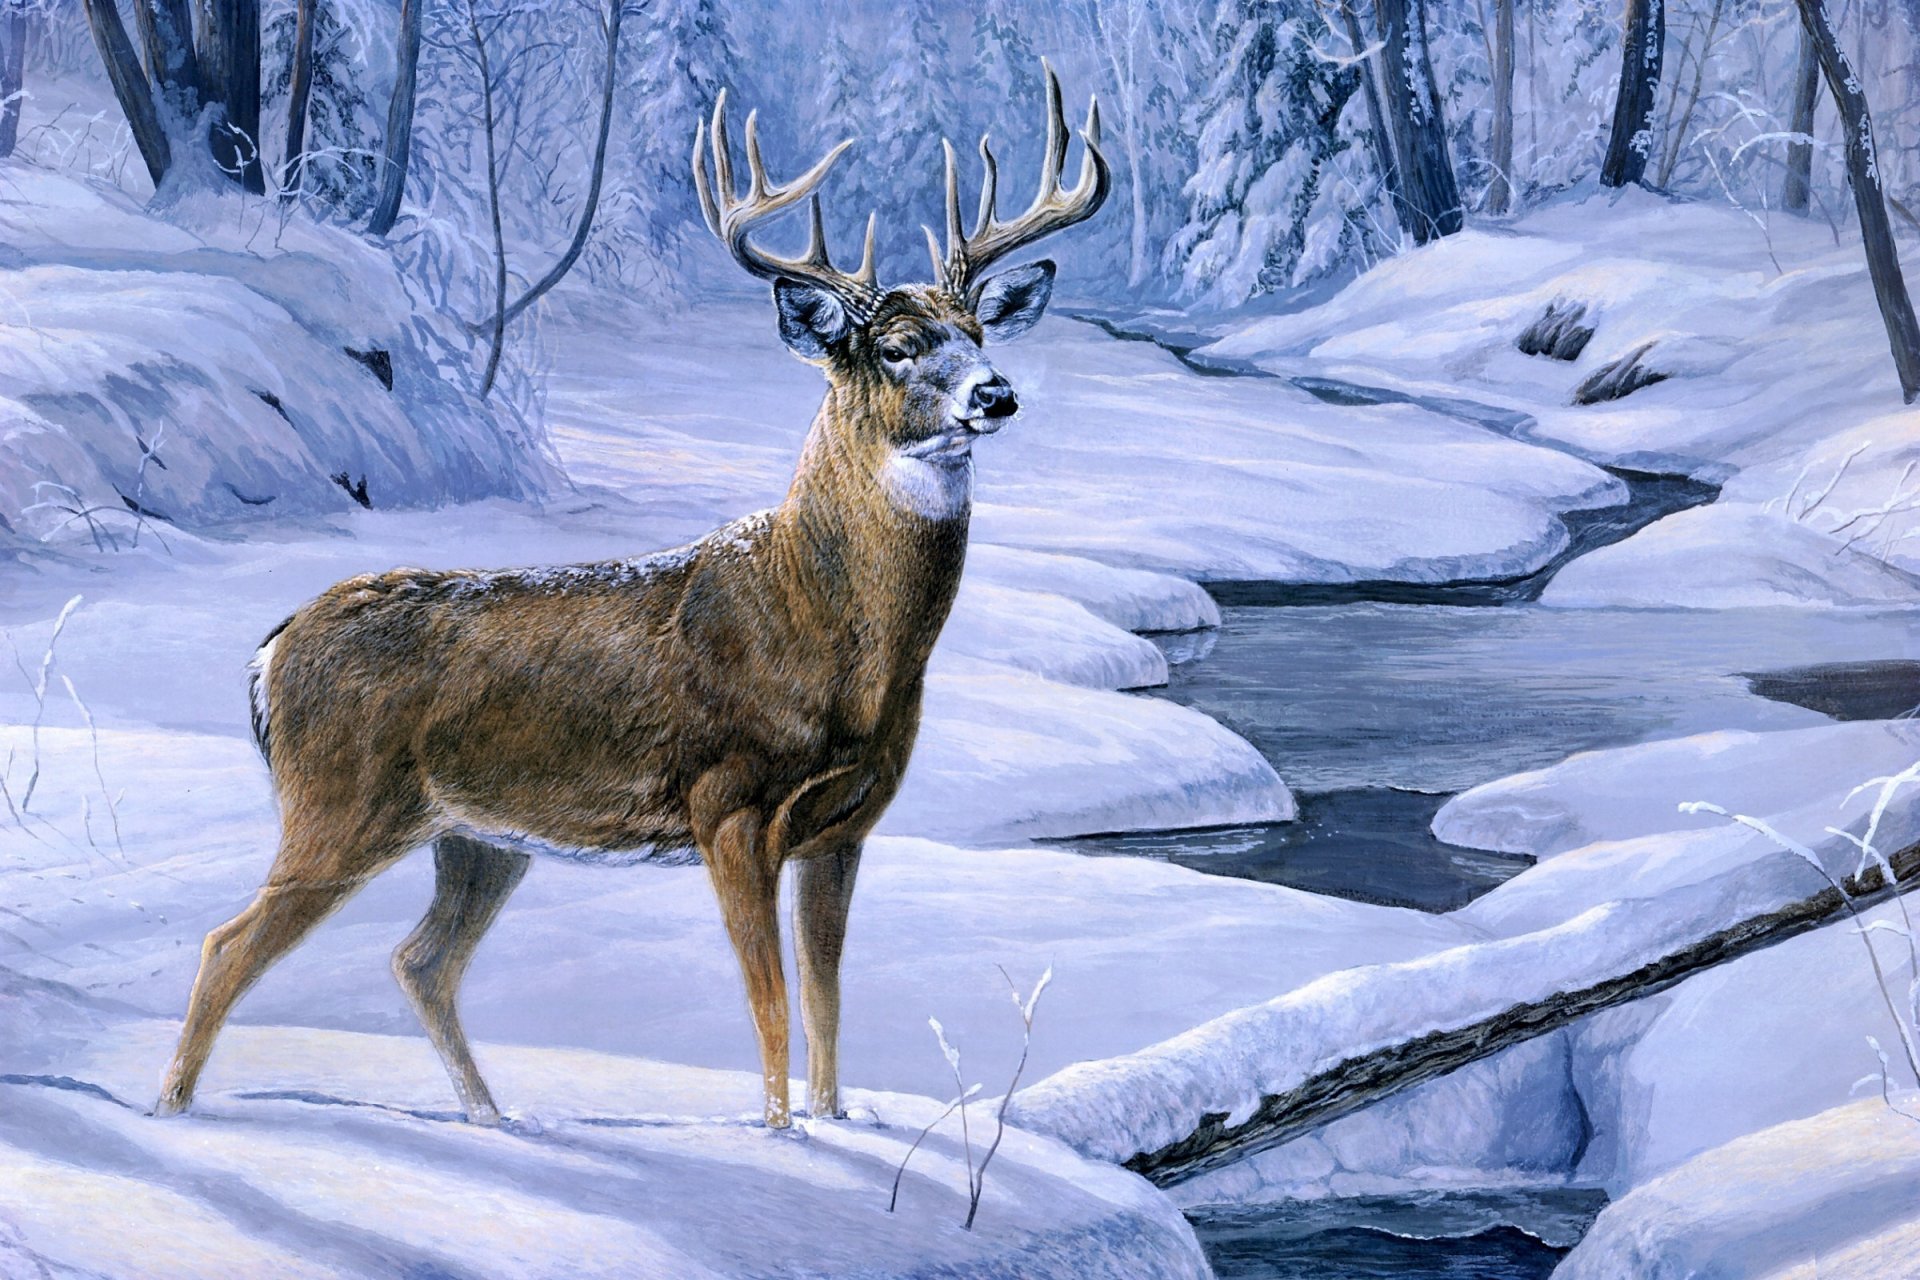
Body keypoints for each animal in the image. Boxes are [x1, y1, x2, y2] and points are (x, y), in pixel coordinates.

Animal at [154, 65, 1109, 1131]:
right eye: (898, 347)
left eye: (976, 331)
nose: (997, 393)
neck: (828, 635)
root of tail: (270, 651)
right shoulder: (727, 801)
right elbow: (771, 1006)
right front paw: (778, 1136)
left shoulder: (845, 826)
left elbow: (828, 1005)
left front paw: (834, 1125)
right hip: (338, 800)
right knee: (227, 945)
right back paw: (172, 1111)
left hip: (477, 835)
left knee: (420, 960)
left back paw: (492, 1120)